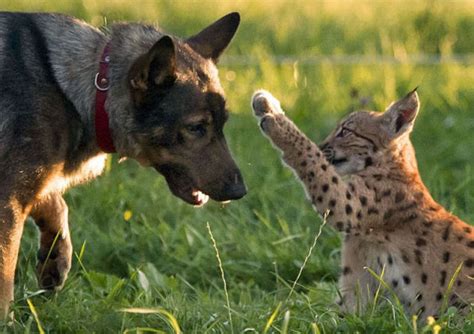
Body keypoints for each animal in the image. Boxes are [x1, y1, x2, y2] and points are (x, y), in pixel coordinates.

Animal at [0, 11, 246, 318]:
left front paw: (55, 260)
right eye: (196, 128)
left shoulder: (28, 185)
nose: (240, 191)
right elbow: (5, 279)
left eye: (222, 125)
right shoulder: (9, 199)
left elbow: (56, 205)